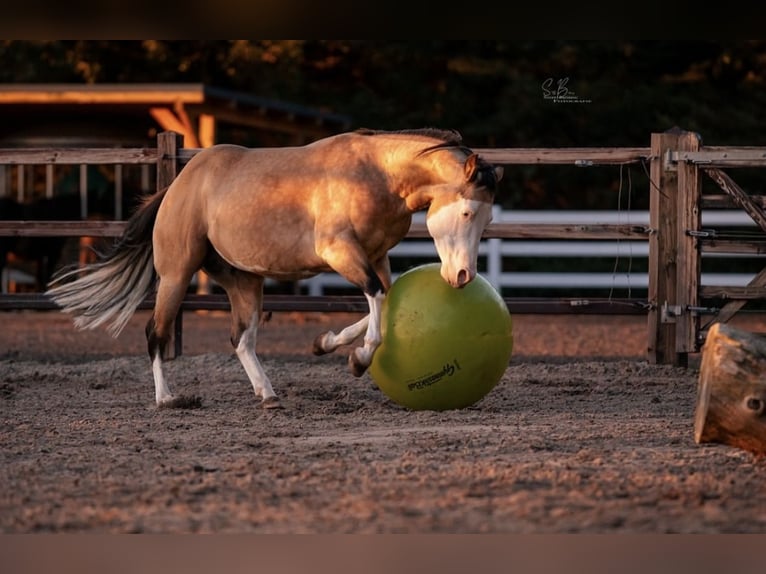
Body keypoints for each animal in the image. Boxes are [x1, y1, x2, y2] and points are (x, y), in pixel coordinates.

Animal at [45, 128, 503, 409]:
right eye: (466, 212)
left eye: (487, 219)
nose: (462, 278)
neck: (377, 175)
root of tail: (178, 186)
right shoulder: (340, 252)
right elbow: (375, 298)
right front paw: (359, 358)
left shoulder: (375, 256)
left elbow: (381, 299)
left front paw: (325, 343)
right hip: (176, 275)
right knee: (155, 333)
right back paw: (167, 399)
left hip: (244, 280)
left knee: (241, 339)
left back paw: (267, 394)